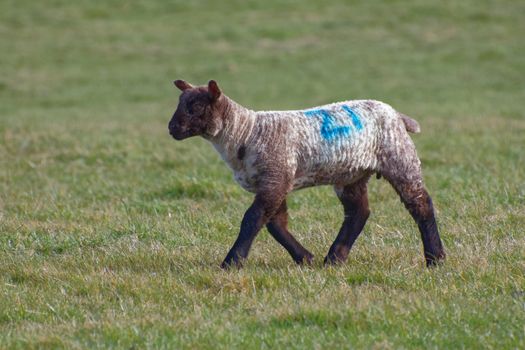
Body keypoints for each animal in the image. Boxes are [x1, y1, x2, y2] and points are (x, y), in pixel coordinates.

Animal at [169, 80, 446, 268]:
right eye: (180, 103)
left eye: (195, 106)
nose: (171, 128)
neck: (245, 131)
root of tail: (397, 115)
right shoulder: (274, 180)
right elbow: (275, 224)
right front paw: (305, 258)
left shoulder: (275, 176)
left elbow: (252, 219)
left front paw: (231, 262)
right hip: (352, 174)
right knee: (358, 212)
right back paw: (334, 258)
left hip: (399, 158)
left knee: (421, 205)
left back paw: (436, 259)